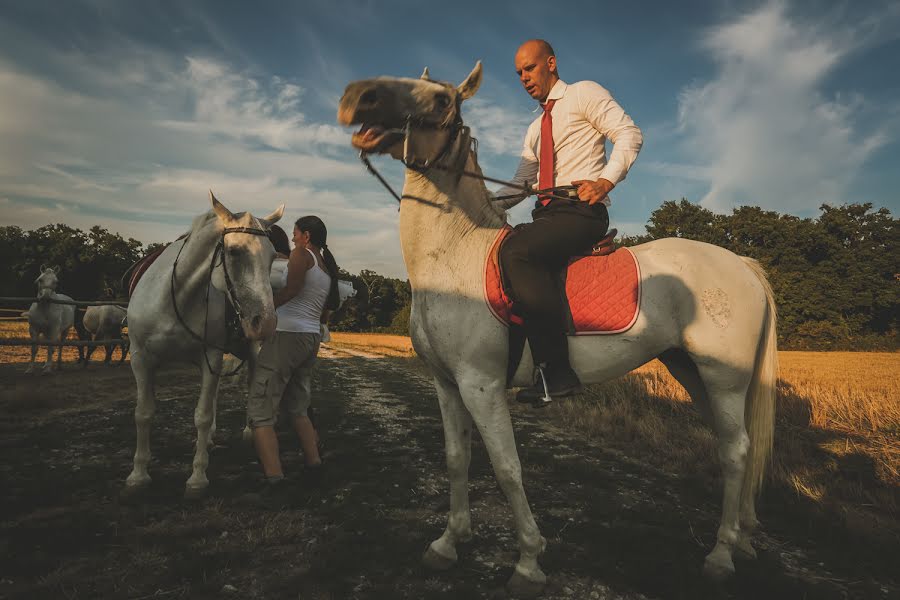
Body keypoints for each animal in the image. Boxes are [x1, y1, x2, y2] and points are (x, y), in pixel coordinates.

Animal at [121, 193, 280, 502]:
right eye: (235, 252)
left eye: (271, 257)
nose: (265, 321)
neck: (175, 297)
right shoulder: (140, 359)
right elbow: (143, 413)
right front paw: (138, 474)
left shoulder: (211, 356)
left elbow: (202, 417)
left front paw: (197, 478)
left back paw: (248, 430)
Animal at [342, 63, 776, 592]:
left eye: (442, 100)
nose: (359, 97)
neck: (454, 255)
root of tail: (742, 264)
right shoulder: (446, 384)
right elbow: (456, 459)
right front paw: (448, 542)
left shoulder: (481, 385)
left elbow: (507, 467)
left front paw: (529, 561)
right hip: (693, 371)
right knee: (733, 445)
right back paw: (743, 538)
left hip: (724, 378)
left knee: (737, 451)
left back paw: (721, 555)